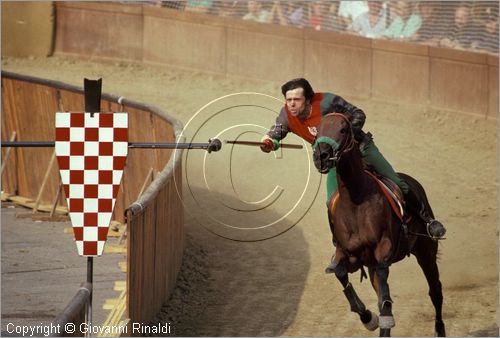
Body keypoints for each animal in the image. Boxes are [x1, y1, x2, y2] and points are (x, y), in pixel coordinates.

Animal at [312, 113, 446, 336]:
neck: (356, 199)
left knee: (435, 290)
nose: (321, 156)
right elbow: (341, 273)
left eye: (343, 129)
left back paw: (440, 329)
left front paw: (383, 321)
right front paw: (369, 318)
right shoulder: (349, 254)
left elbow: (385, 296)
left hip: (426, 251)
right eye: (318, 130)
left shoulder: (383, 250)